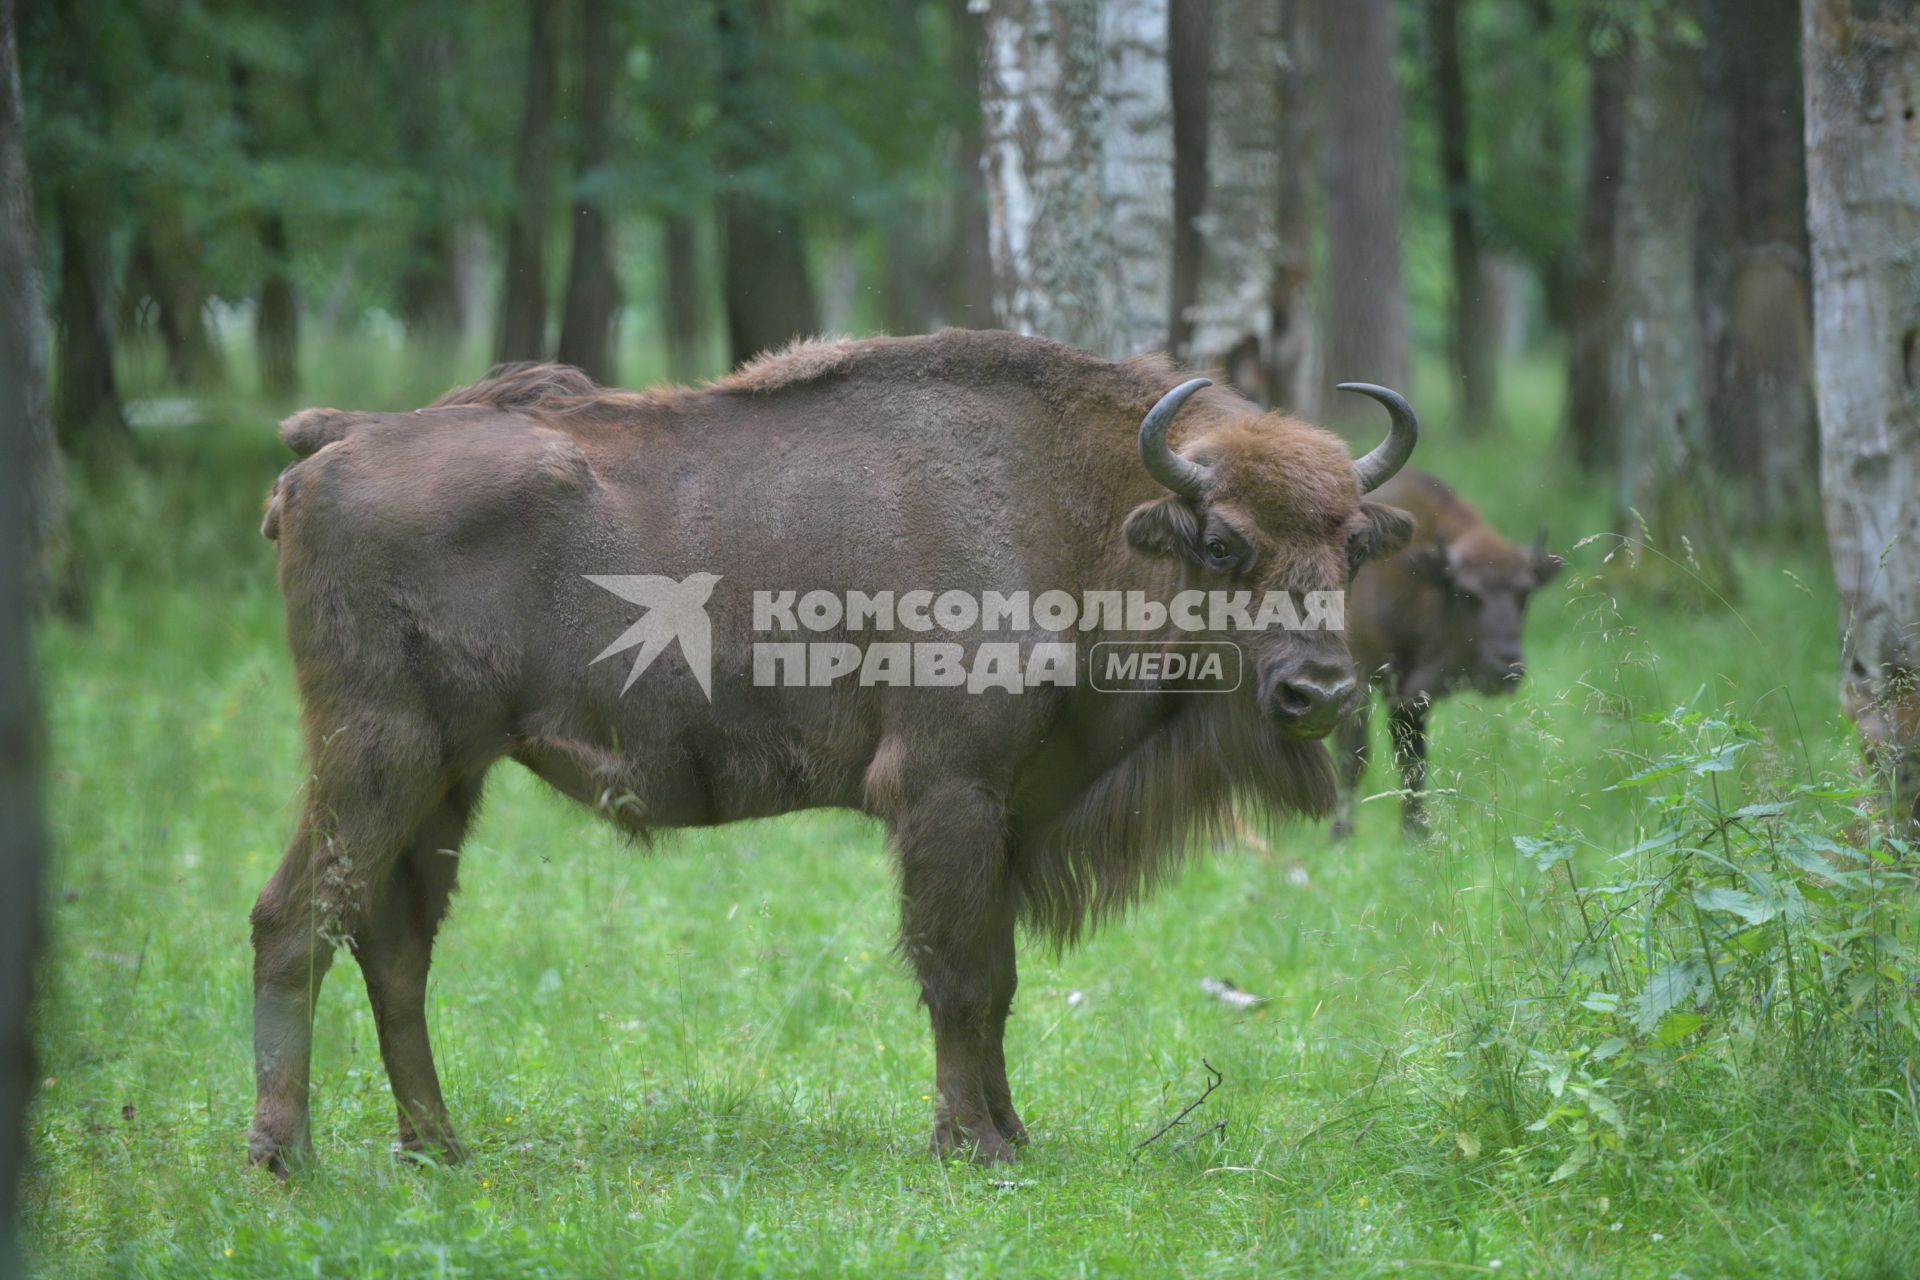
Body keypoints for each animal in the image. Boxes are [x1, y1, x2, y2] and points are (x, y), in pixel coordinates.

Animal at [247, 330, 1420, 1174]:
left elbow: (996, 980)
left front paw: (1013, 1133)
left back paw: (437, 1148)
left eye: (1351, 544)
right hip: (377, 755)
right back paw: (287, 1158)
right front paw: (971, 1146)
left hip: (448, 779)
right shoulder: (948, 794)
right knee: (294, 920)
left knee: (394, 947)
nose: (1318, 691)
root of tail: (332, 447)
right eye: (1223, 543)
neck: (1073, 506)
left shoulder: (1007, 811)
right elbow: (958, 973)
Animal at [1328, 470, 1566, 840]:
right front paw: (1340, 835)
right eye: (1467, 593)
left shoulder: (1410, 697)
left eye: (1525, 593)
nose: (1507, 665)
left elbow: (1413, 761)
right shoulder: (1359, 679)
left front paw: (1416, 834)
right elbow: (1354, 756)